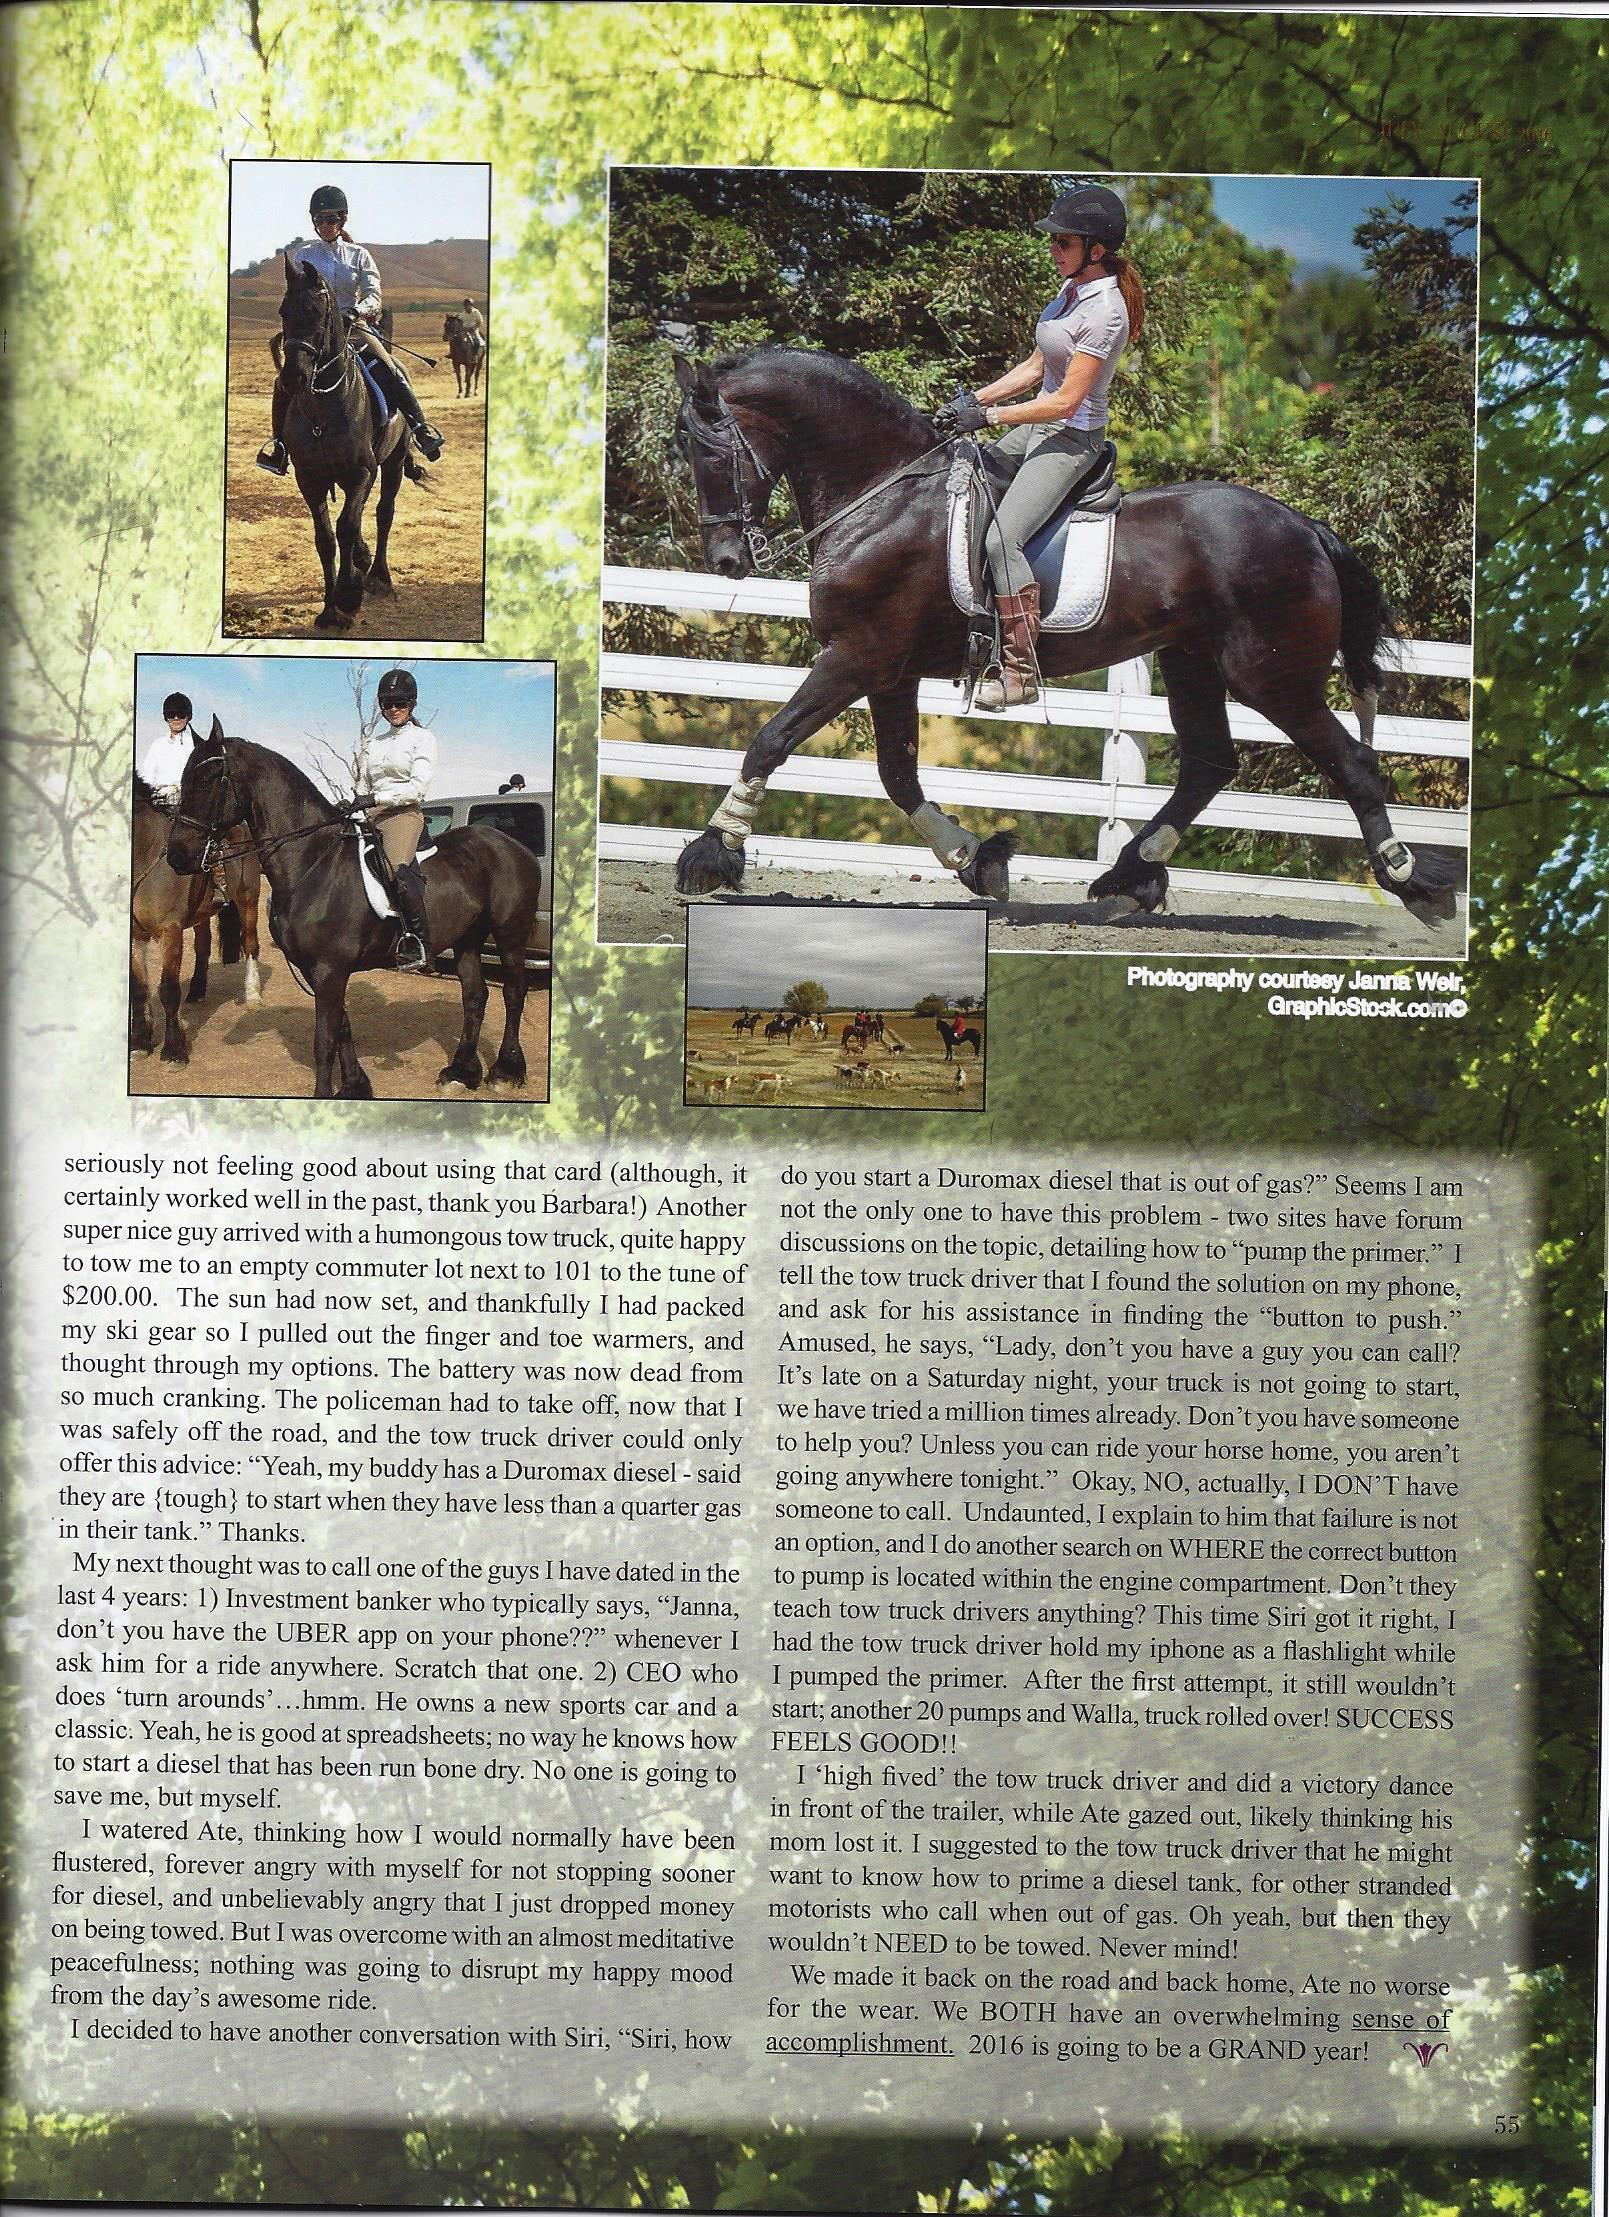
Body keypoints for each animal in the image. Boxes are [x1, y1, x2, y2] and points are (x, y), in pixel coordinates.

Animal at [131, 778, 262, 1064]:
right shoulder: (135, 936)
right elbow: (139, 988)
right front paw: (140, 1043)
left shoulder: (169, 930)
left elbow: (168, 990)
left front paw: (174, 1052)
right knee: (203, 947)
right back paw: (197, 991)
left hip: (249, 900)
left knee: (250, 945)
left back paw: (254, 996)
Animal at [165, 721, 541, 1100]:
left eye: (207, 781)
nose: (177, 856)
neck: (312, 862)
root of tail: (511, 844)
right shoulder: (321, 970)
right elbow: (342, 1027)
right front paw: (355, 1086)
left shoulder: (329, 969)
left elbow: (324, 1040)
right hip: (467, 939)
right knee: (475, 996)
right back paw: (461, 1073)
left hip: (510, 935)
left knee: (513, 993)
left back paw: (505, 1071)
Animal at [271, 255, 415, 630]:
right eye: (283, 311)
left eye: (318, 311)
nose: (293, 377)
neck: (324, 410)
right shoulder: (310, 479)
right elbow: (326, 538)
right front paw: (330, 609)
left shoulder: (362, 472)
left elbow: (347, 526)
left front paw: (349, 595)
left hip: (393, 463)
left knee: (383, 513)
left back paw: (378, 576)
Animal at [667, 348, 1460, 928]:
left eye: (708, 450)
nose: (726, 562)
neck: (886, 496)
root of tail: (1308, 530)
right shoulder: (890, 670)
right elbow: (897, 775)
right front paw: (977, 861)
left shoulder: (859, 656)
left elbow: (770, 740)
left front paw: (709, 856)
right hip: (1192, 662)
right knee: (1209, 764)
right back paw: (1129, 876)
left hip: (1270, 676)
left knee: (1350, 761)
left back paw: (1413, 882)